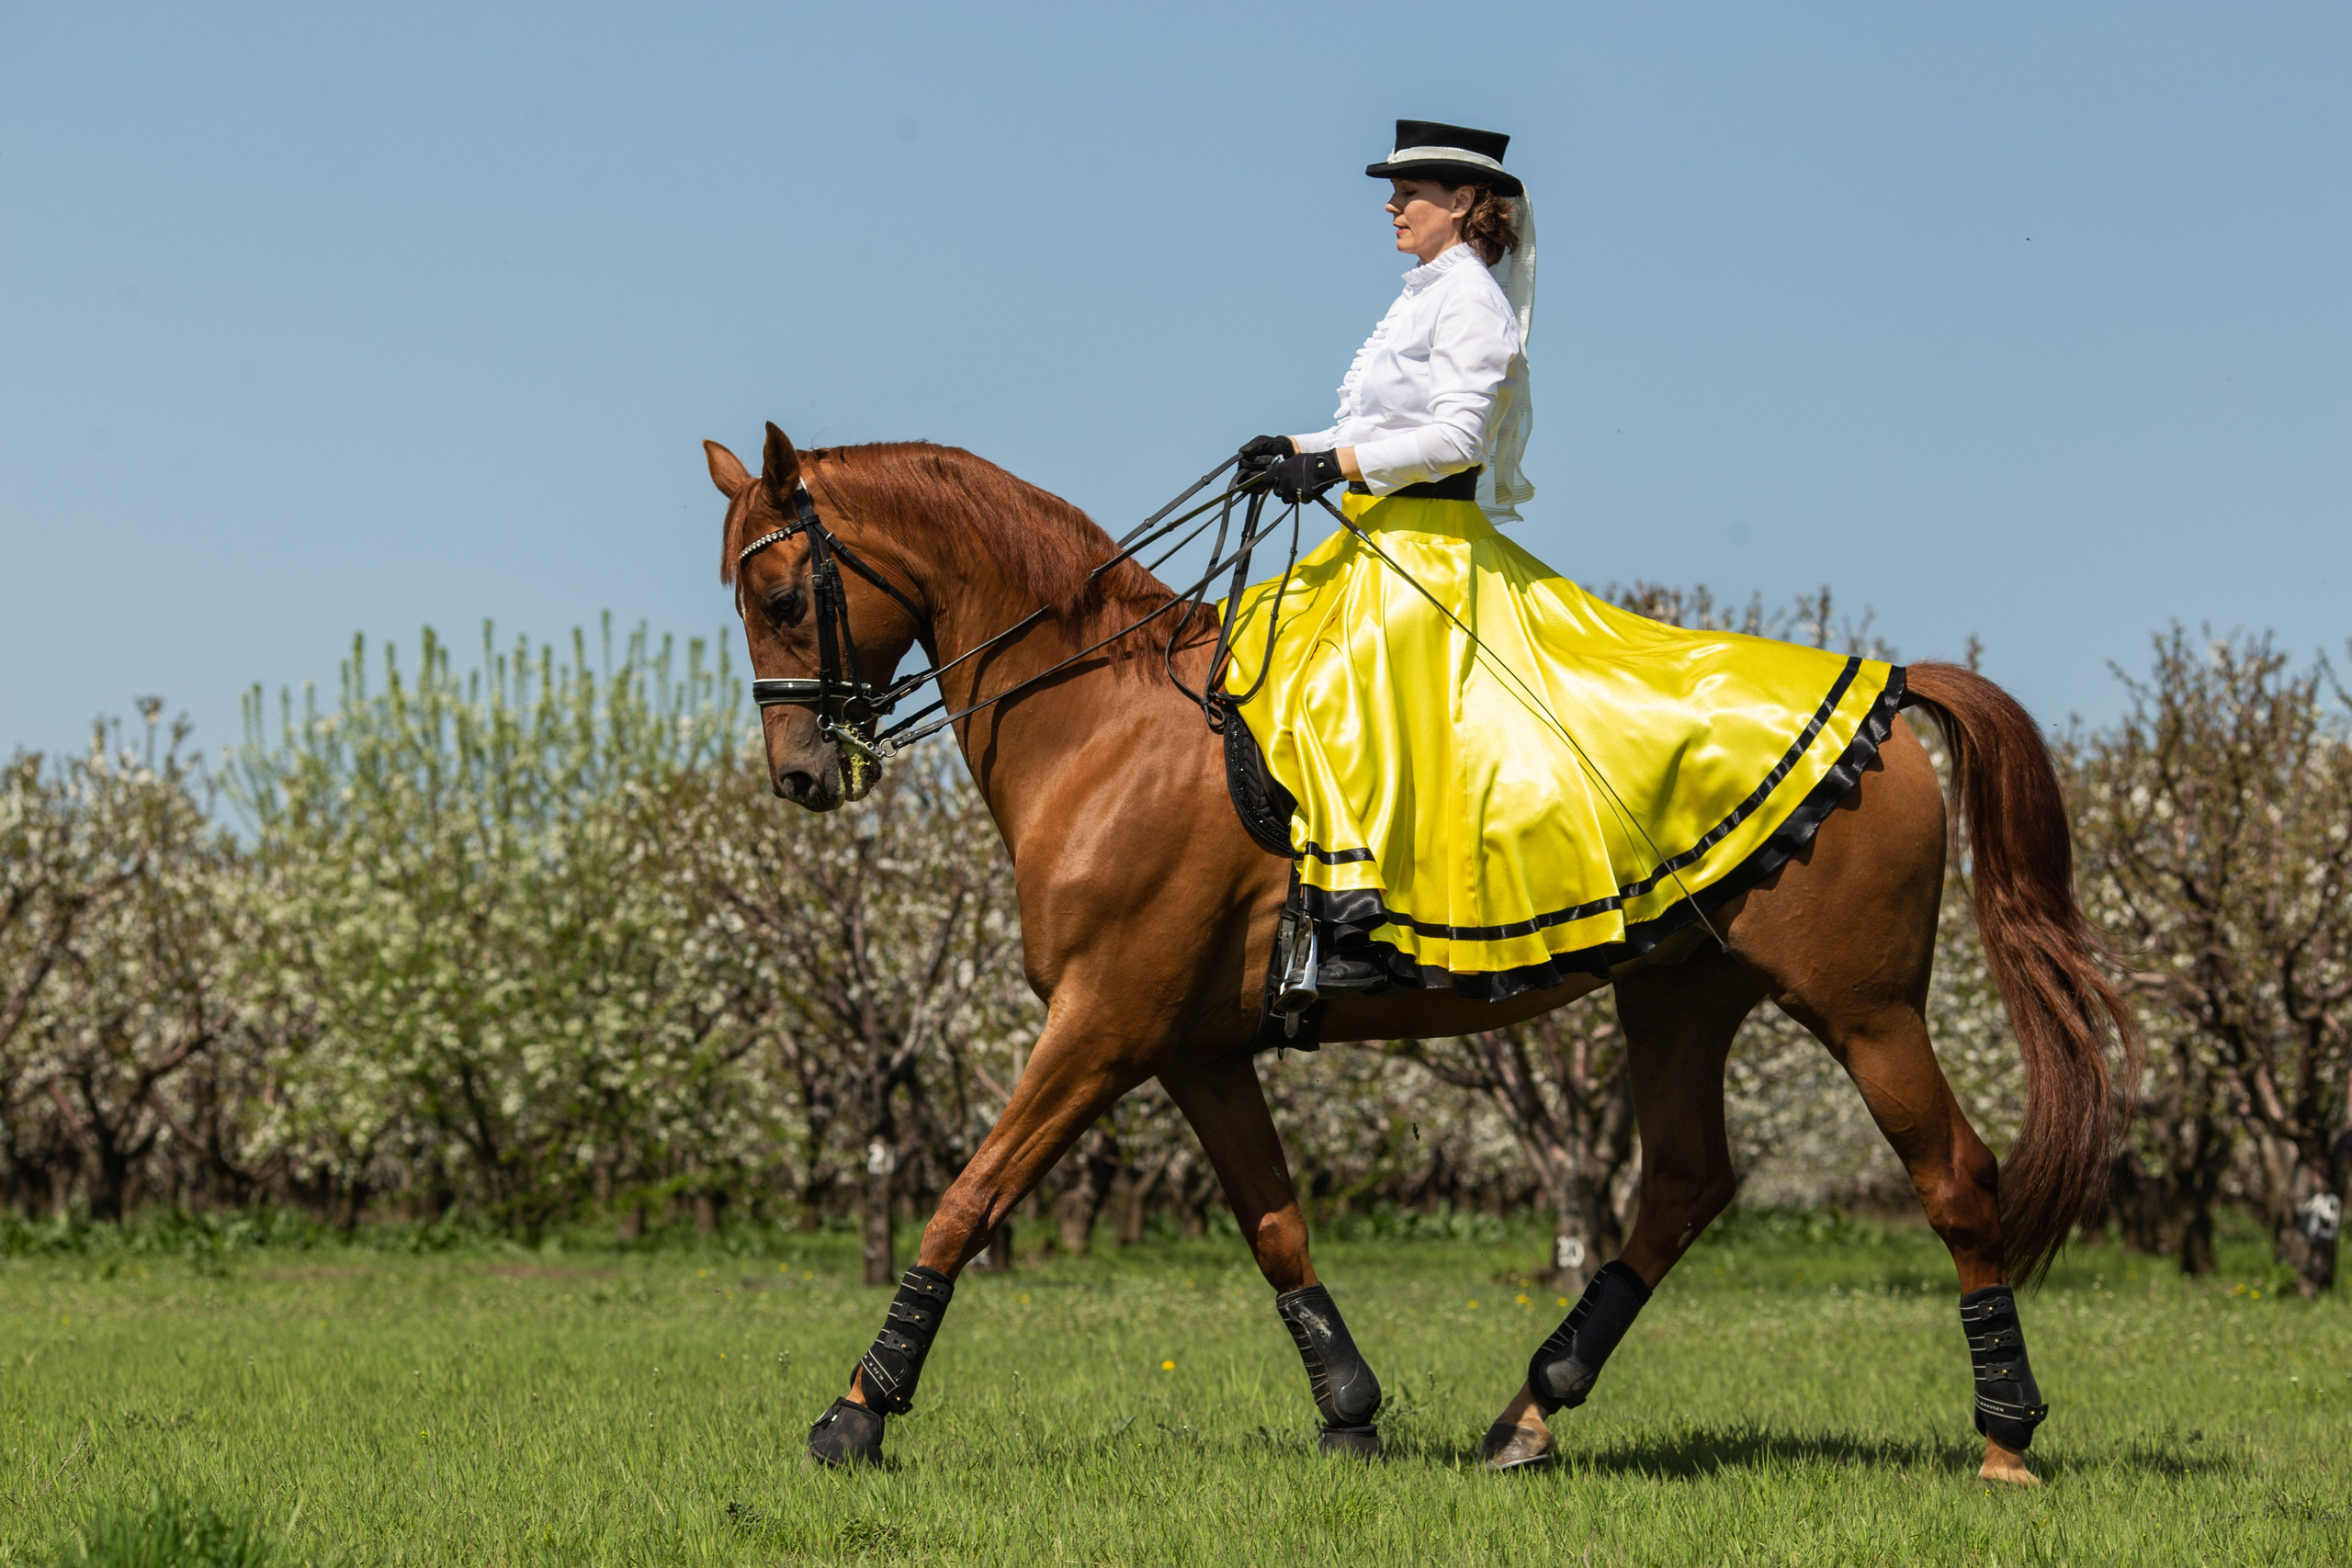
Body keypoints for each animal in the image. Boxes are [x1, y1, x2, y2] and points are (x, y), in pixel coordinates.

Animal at [703, 424, 2133, 1485]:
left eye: (779, 596)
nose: (797, 778)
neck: (1103, 716)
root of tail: (1886, 689)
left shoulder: (1100, 1026)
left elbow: (969, 1192)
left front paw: (855, 1412)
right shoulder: (1194, 1047)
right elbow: (1275, 1221)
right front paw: (1350, 1411)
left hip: (1865, 1007)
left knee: (1954, 1177)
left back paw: (2005, 1440)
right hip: (1681, 995)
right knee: (1682, 1183)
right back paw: (1530, 1414)